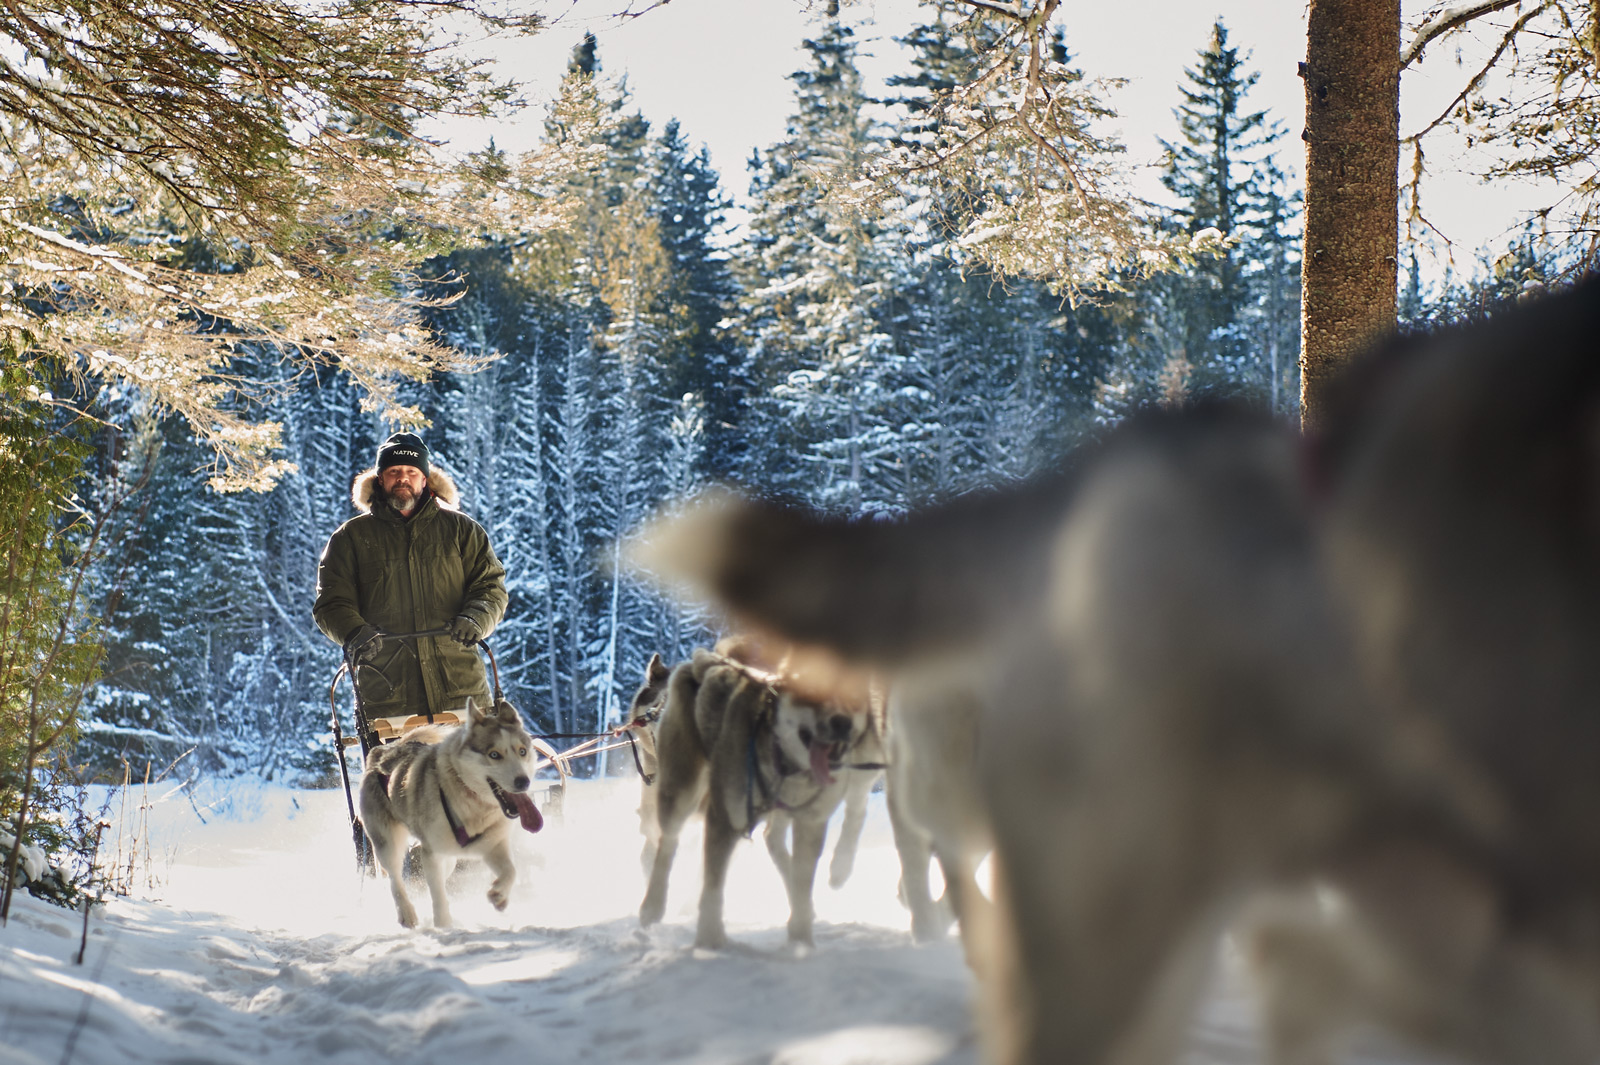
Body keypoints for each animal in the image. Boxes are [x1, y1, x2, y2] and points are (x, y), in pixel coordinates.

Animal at [361, 694, 547, 927]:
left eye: (522, 751)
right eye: (494, 754)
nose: (523, 781)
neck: (471, 803)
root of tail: (383, 750)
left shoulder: (492, 845)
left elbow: (511, 870)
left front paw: (500, 895)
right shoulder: (431, 853)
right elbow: (438, 895)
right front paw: (443, 925)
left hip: (449, 858)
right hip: (388, 843)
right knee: (395, 878)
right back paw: (407, 913)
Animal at [640, 633, 876, 946]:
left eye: (853, 699)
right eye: (812, 691)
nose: (842, 723)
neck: (786, 766)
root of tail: (703, 662)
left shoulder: (810, 824)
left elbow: (802, 882)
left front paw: (801, 940)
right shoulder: (725, 819)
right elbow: (713, 887)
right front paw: (710, 941)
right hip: (681, 792)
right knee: (667, 845)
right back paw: (652, 906)